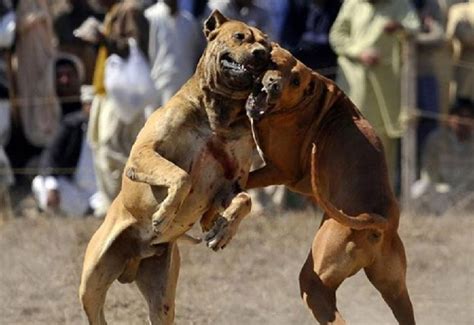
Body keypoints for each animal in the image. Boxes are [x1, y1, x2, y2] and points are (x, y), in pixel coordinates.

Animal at [79, 10, 268, 324]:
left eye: (268, 44)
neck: (219, 113)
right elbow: (182, 177)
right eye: (240, 36)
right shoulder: (142, 155)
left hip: (162, 296)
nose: (261, 54)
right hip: (91, 282)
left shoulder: (229, 184)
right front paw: (164, 214)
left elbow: (243, 200)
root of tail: (134, 258)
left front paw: (223, 231)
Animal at [246, 45, 412, 324]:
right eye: (275, 63)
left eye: (295, 81)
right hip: (396, 289)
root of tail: (375, 220)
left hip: (314, 284)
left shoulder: (280, 170)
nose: (273, 86)